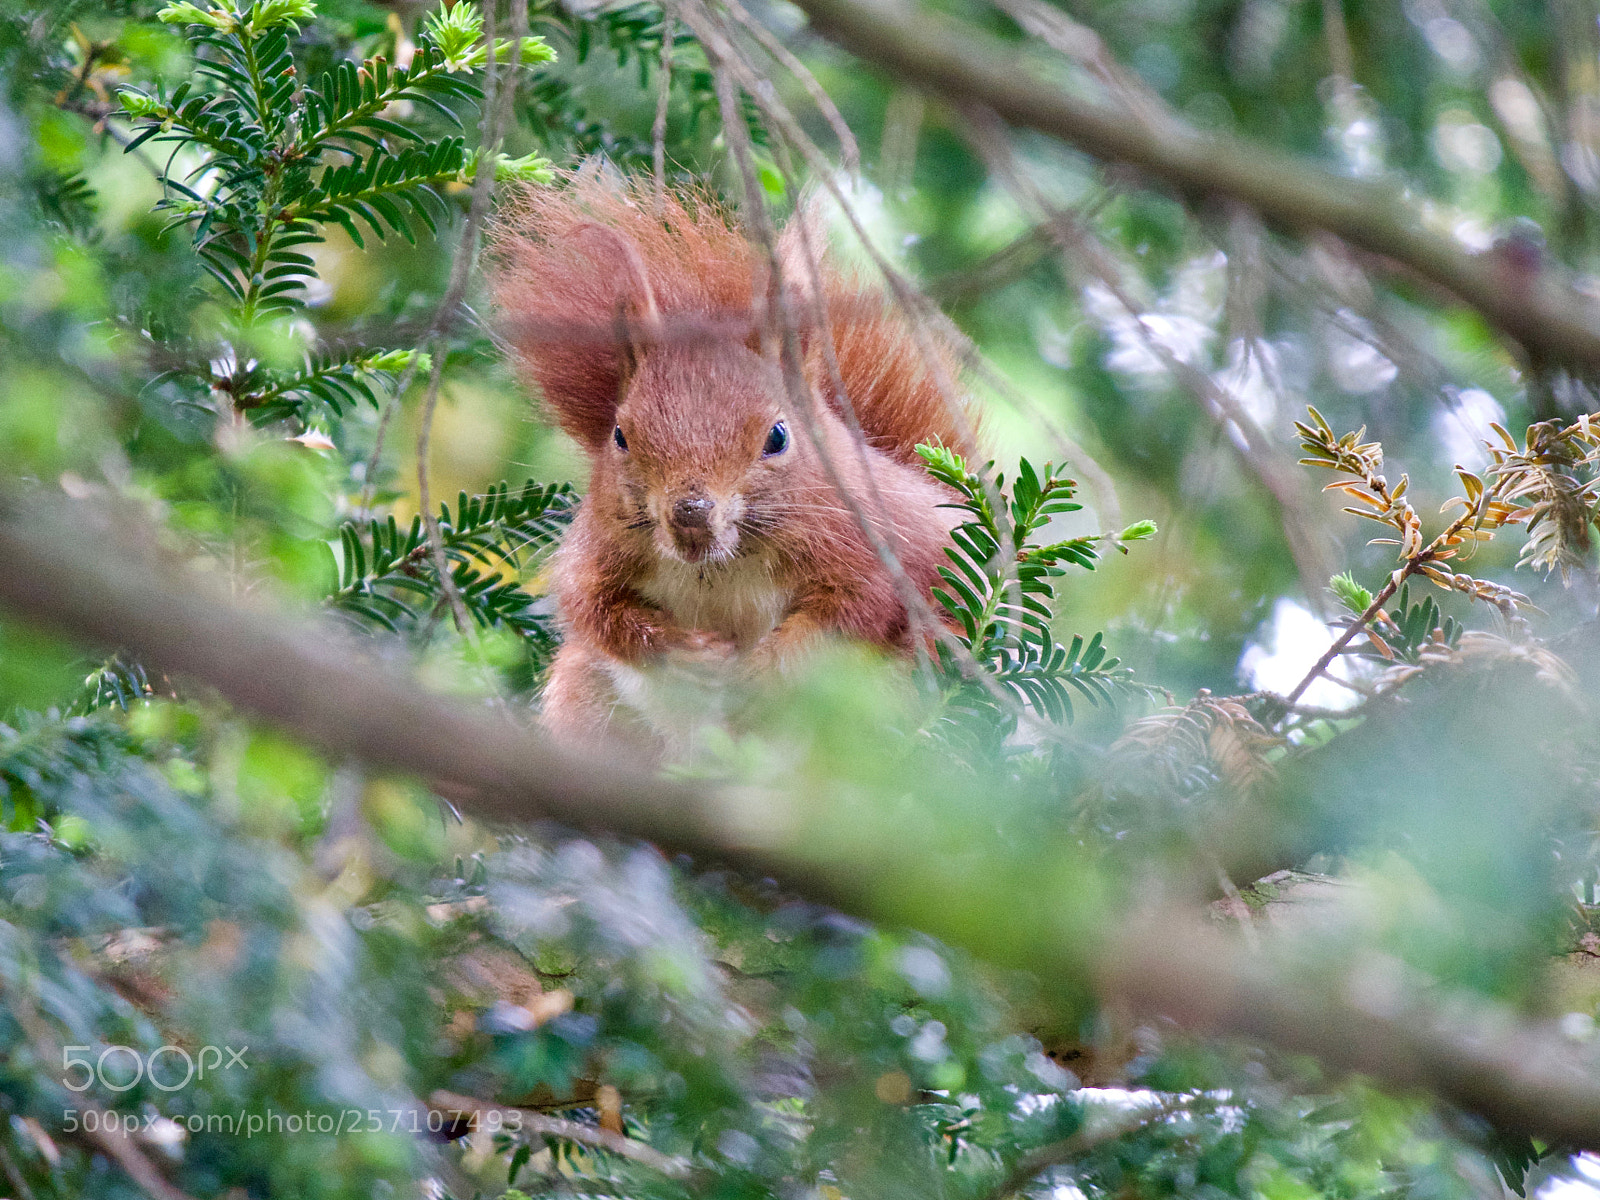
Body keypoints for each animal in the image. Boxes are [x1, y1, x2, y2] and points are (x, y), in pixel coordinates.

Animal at [489, 175, 978, 752]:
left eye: (778, 436)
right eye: (620, 435)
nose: (690, 512)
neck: (721, 567)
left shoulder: (872, 545)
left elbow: (851, 612)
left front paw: (761, 669)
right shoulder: (597, 554)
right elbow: (596, 611)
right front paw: (687, 653)